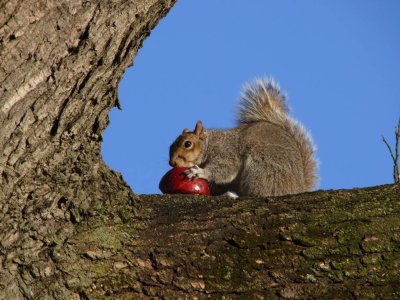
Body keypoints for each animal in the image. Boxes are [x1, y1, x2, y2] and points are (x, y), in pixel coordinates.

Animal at [169, 78, 318, 198]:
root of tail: (298, 187)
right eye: (170, 146)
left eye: (187, 144)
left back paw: (233, 195)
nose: (172, 163)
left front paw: (200, 172)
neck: (210, 143)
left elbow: (225, 169)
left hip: (261, 169)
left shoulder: (226, 153)